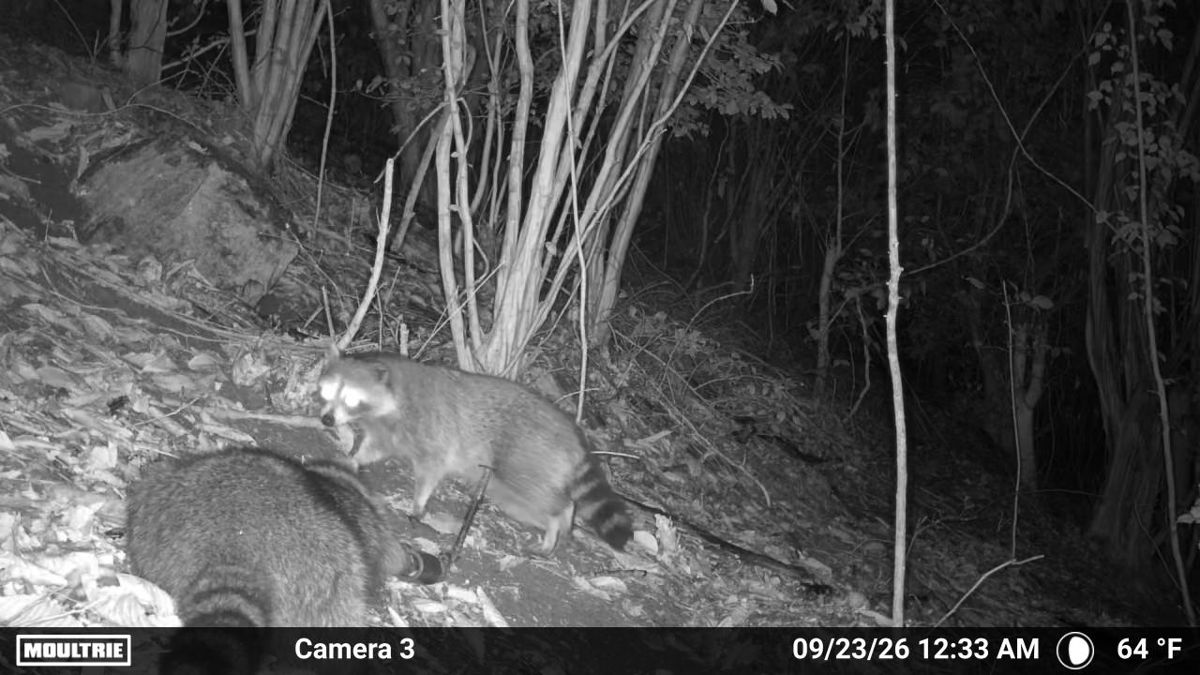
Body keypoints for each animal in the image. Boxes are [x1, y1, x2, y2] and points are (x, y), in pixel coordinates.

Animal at [316, 349, 633, 554]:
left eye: (352, 399)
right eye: (327, 393)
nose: (327, 420)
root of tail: (572, 432)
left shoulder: (432, 428)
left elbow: (432, 469)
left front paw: (419, 501)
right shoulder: (387, 432)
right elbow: (373, 449)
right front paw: (352, 458)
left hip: (527, 459)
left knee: (550, 499)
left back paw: (560, 519)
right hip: (508, 486)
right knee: (529, 505)